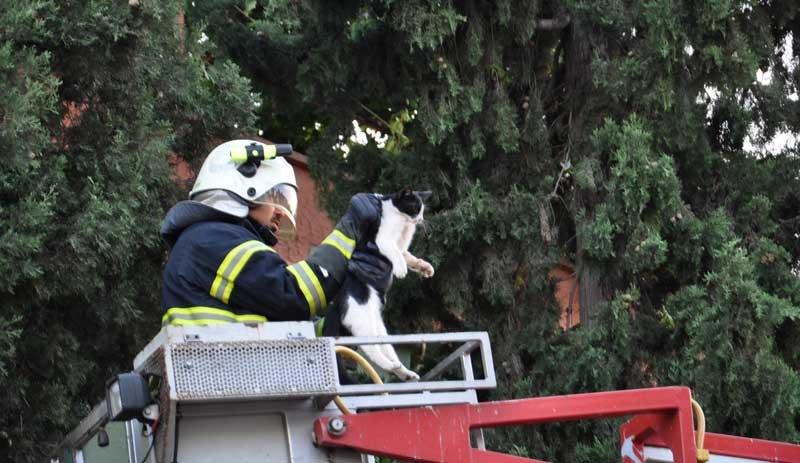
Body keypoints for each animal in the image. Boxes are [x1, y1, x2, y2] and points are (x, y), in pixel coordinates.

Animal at [324, 188, 432, 380]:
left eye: (422, 211)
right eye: (415, 207)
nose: (419, 220)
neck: (404, 223)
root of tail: (336, 303)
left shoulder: (403, 249)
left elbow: (409, 257)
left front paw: (425, 267)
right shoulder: (384, 240)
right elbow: (396, 253)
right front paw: (400, 269)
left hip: (380, 331)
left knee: (387, 352)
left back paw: (405, 372)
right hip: (363, 324)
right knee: (372, 352)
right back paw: (392, 366)